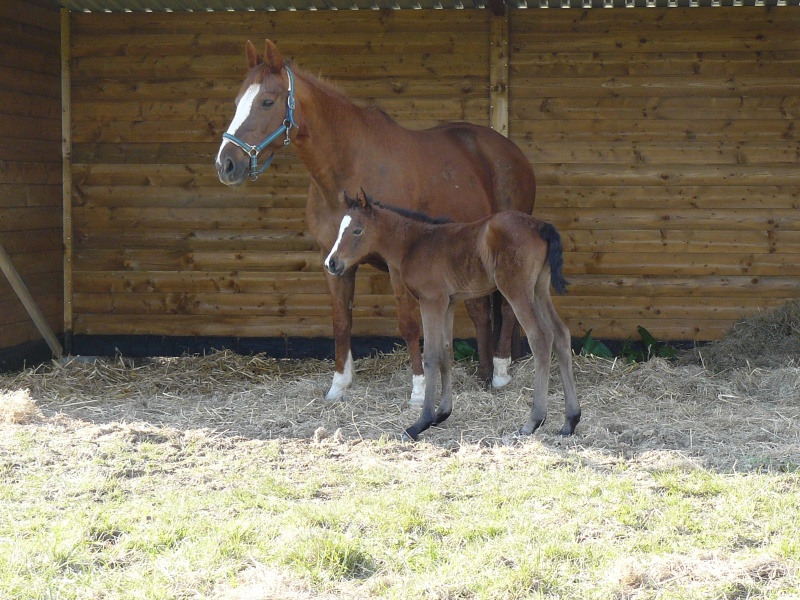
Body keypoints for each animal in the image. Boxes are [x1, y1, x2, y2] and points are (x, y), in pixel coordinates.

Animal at [216, 39, 536, 406]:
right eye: (237, 102)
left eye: (267, 101)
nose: (226, 164)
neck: (351, 167)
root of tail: (509, 151)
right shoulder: (334, 260)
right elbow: (341, 321)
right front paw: (338, 386)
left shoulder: (398, 265)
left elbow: (409, 324)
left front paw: (418, 391)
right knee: (480, 310)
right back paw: (483, 374)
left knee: (509, 308)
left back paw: (499, 372)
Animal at [324, 192, 580, 440]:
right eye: (340, 229)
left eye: (358, 230)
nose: (331, 263)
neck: (414, 244)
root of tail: (540, 225)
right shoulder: (448, 303)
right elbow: (446, 353)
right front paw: (442, 413)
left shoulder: (431, 301)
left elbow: (430, 355)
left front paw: (421, 422)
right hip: (539, 289)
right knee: (561, 335)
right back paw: (570, 421)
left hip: (517, 290)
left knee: (540, 338)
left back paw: (533, 422)